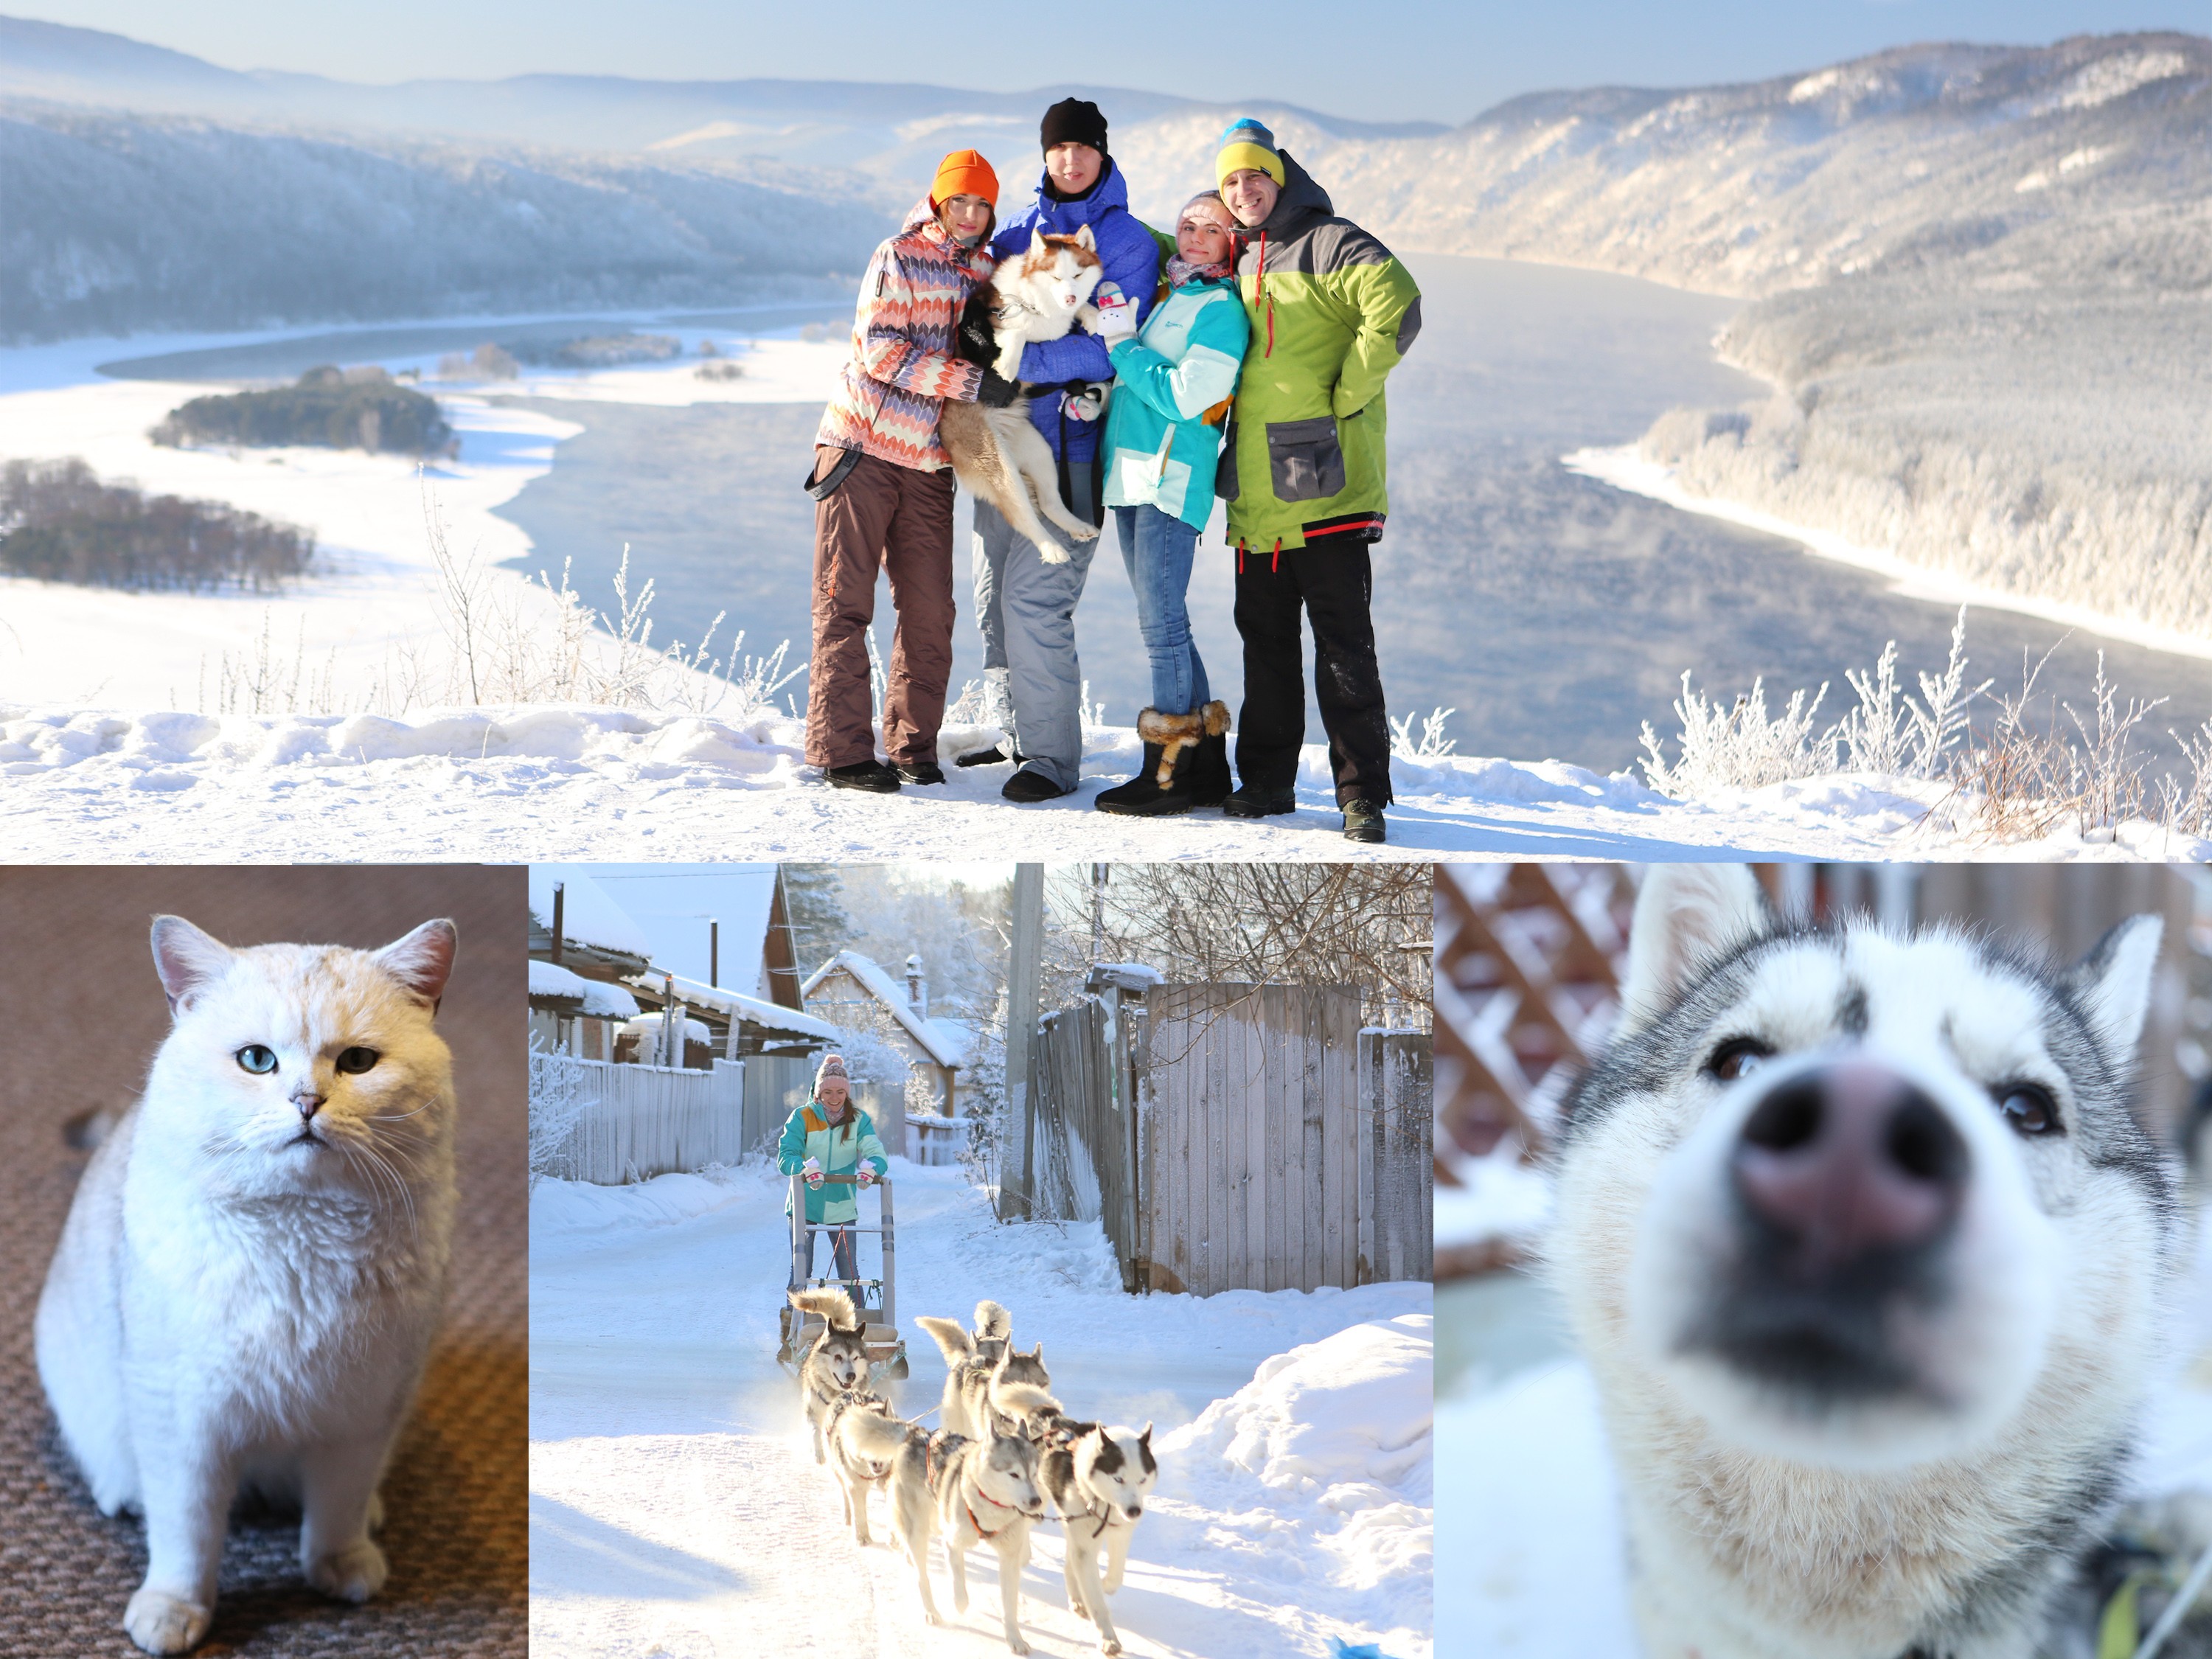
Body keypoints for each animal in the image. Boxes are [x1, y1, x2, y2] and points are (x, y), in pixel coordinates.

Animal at [36, 916, 462, 1655]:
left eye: (358, 1063)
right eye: (257, 1061)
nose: (306, 1103)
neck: (303, 1244)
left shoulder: (362, 1410)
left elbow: (338, 1510)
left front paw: (340, 1569)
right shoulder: (185, 1420)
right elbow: (187, 1535)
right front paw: (175, 1614)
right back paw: (124, 1494)